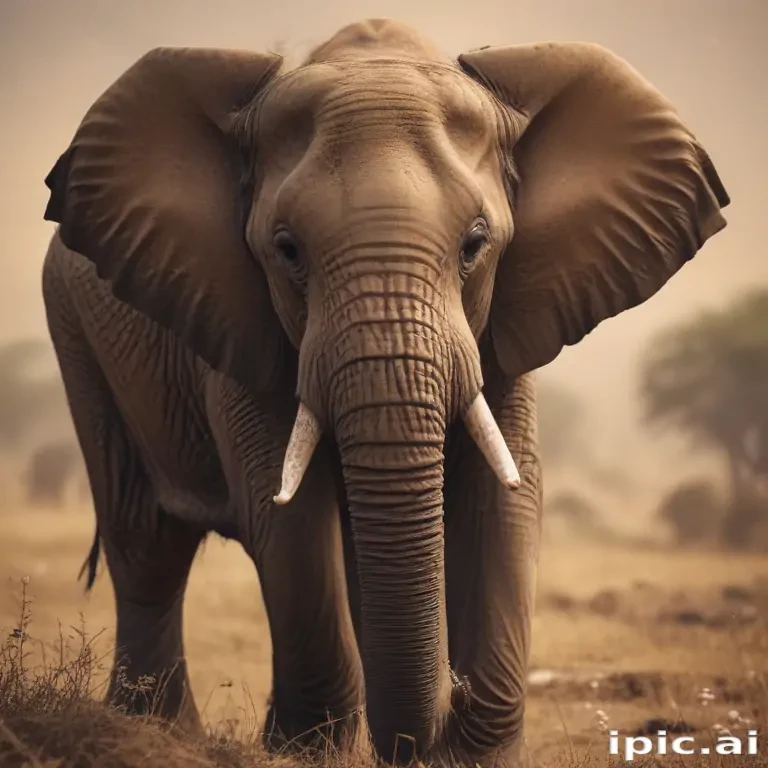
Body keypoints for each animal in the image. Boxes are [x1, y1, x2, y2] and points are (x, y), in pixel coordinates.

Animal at [40, 18, 729, 768]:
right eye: (286, 249)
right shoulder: (237, 320)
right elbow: (282, 509)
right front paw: (303, 752)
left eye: (475, 245)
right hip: (75, 333)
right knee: (146, 541)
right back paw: (155, 732)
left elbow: (505, 501)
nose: (447, 703)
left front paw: (468, 749)